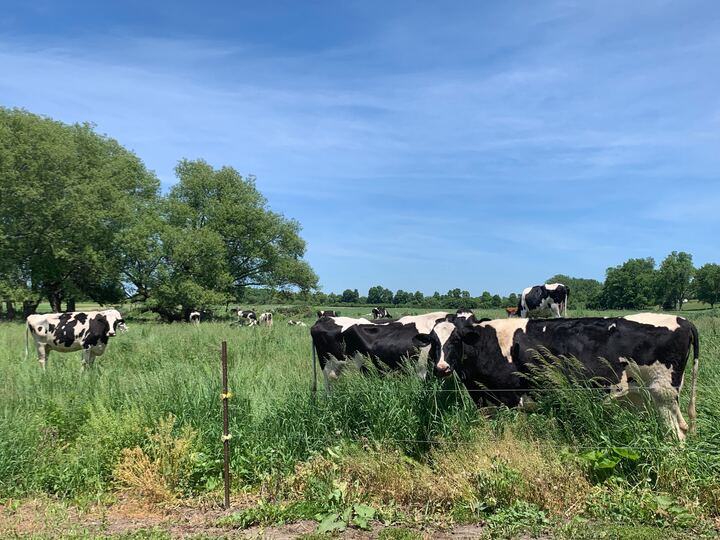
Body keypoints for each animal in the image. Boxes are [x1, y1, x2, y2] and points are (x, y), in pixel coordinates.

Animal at [436, 314, 700, 440]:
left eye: (455, 340)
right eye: (433, 341)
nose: (441, 367)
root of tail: (682, 320)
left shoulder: (508, 398)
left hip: (662, 393)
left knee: (676, 433)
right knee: (681, 427)